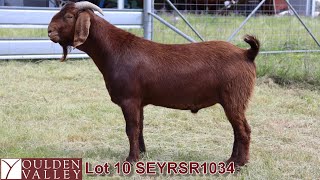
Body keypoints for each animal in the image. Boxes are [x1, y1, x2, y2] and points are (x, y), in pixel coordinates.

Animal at [47, 1, 258, 166]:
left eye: (69, 16)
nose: (49, 31)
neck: (115, 50)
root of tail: (246, 53)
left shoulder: (129, 99)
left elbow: (131, 128)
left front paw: (131, 159)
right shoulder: (139, 101)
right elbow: (140, 127)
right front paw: (142, 154)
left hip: (234, 97)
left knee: (244, 130)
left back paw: (240, 163)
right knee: (237, 130)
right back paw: (232, 160)